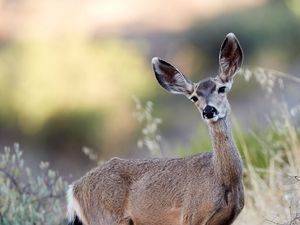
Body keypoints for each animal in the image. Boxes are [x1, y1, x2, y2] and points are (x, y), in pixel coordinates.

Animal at [67, 33, 245, 225]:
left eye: (222, 89)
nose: (208, 110)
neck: (224, 178)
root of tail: (74, 189)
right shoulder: (191, 215)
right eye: (194, 98)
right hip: (107, 219)